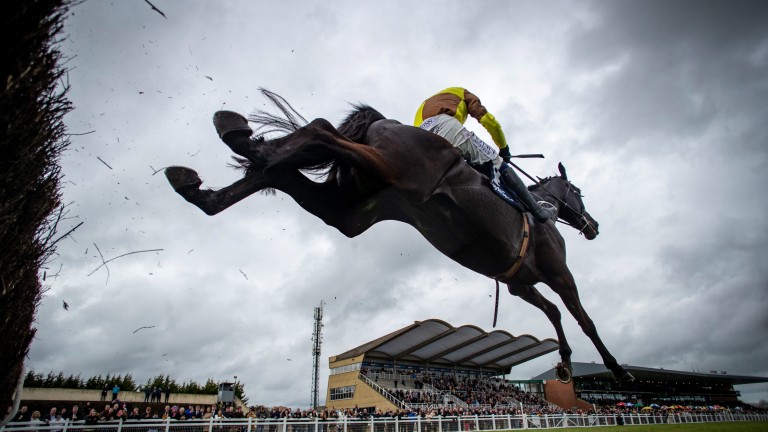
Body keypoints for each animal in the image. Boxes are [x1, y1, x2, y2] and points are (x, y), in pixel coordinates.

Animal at [164, 88, 636, 382]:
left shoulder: (520, 283)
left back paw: (209, 179)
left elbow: (554, 314)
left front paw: (566, 363)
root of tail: (382, 124)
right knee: (318, 130)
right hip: (392, 174)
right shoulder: (558, 274)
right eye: (578, 193)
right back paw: (241, 138)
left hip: (351, 211)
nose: (593, 227)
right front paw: (617, 368)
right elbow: (582, 317)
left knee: (282, 170)